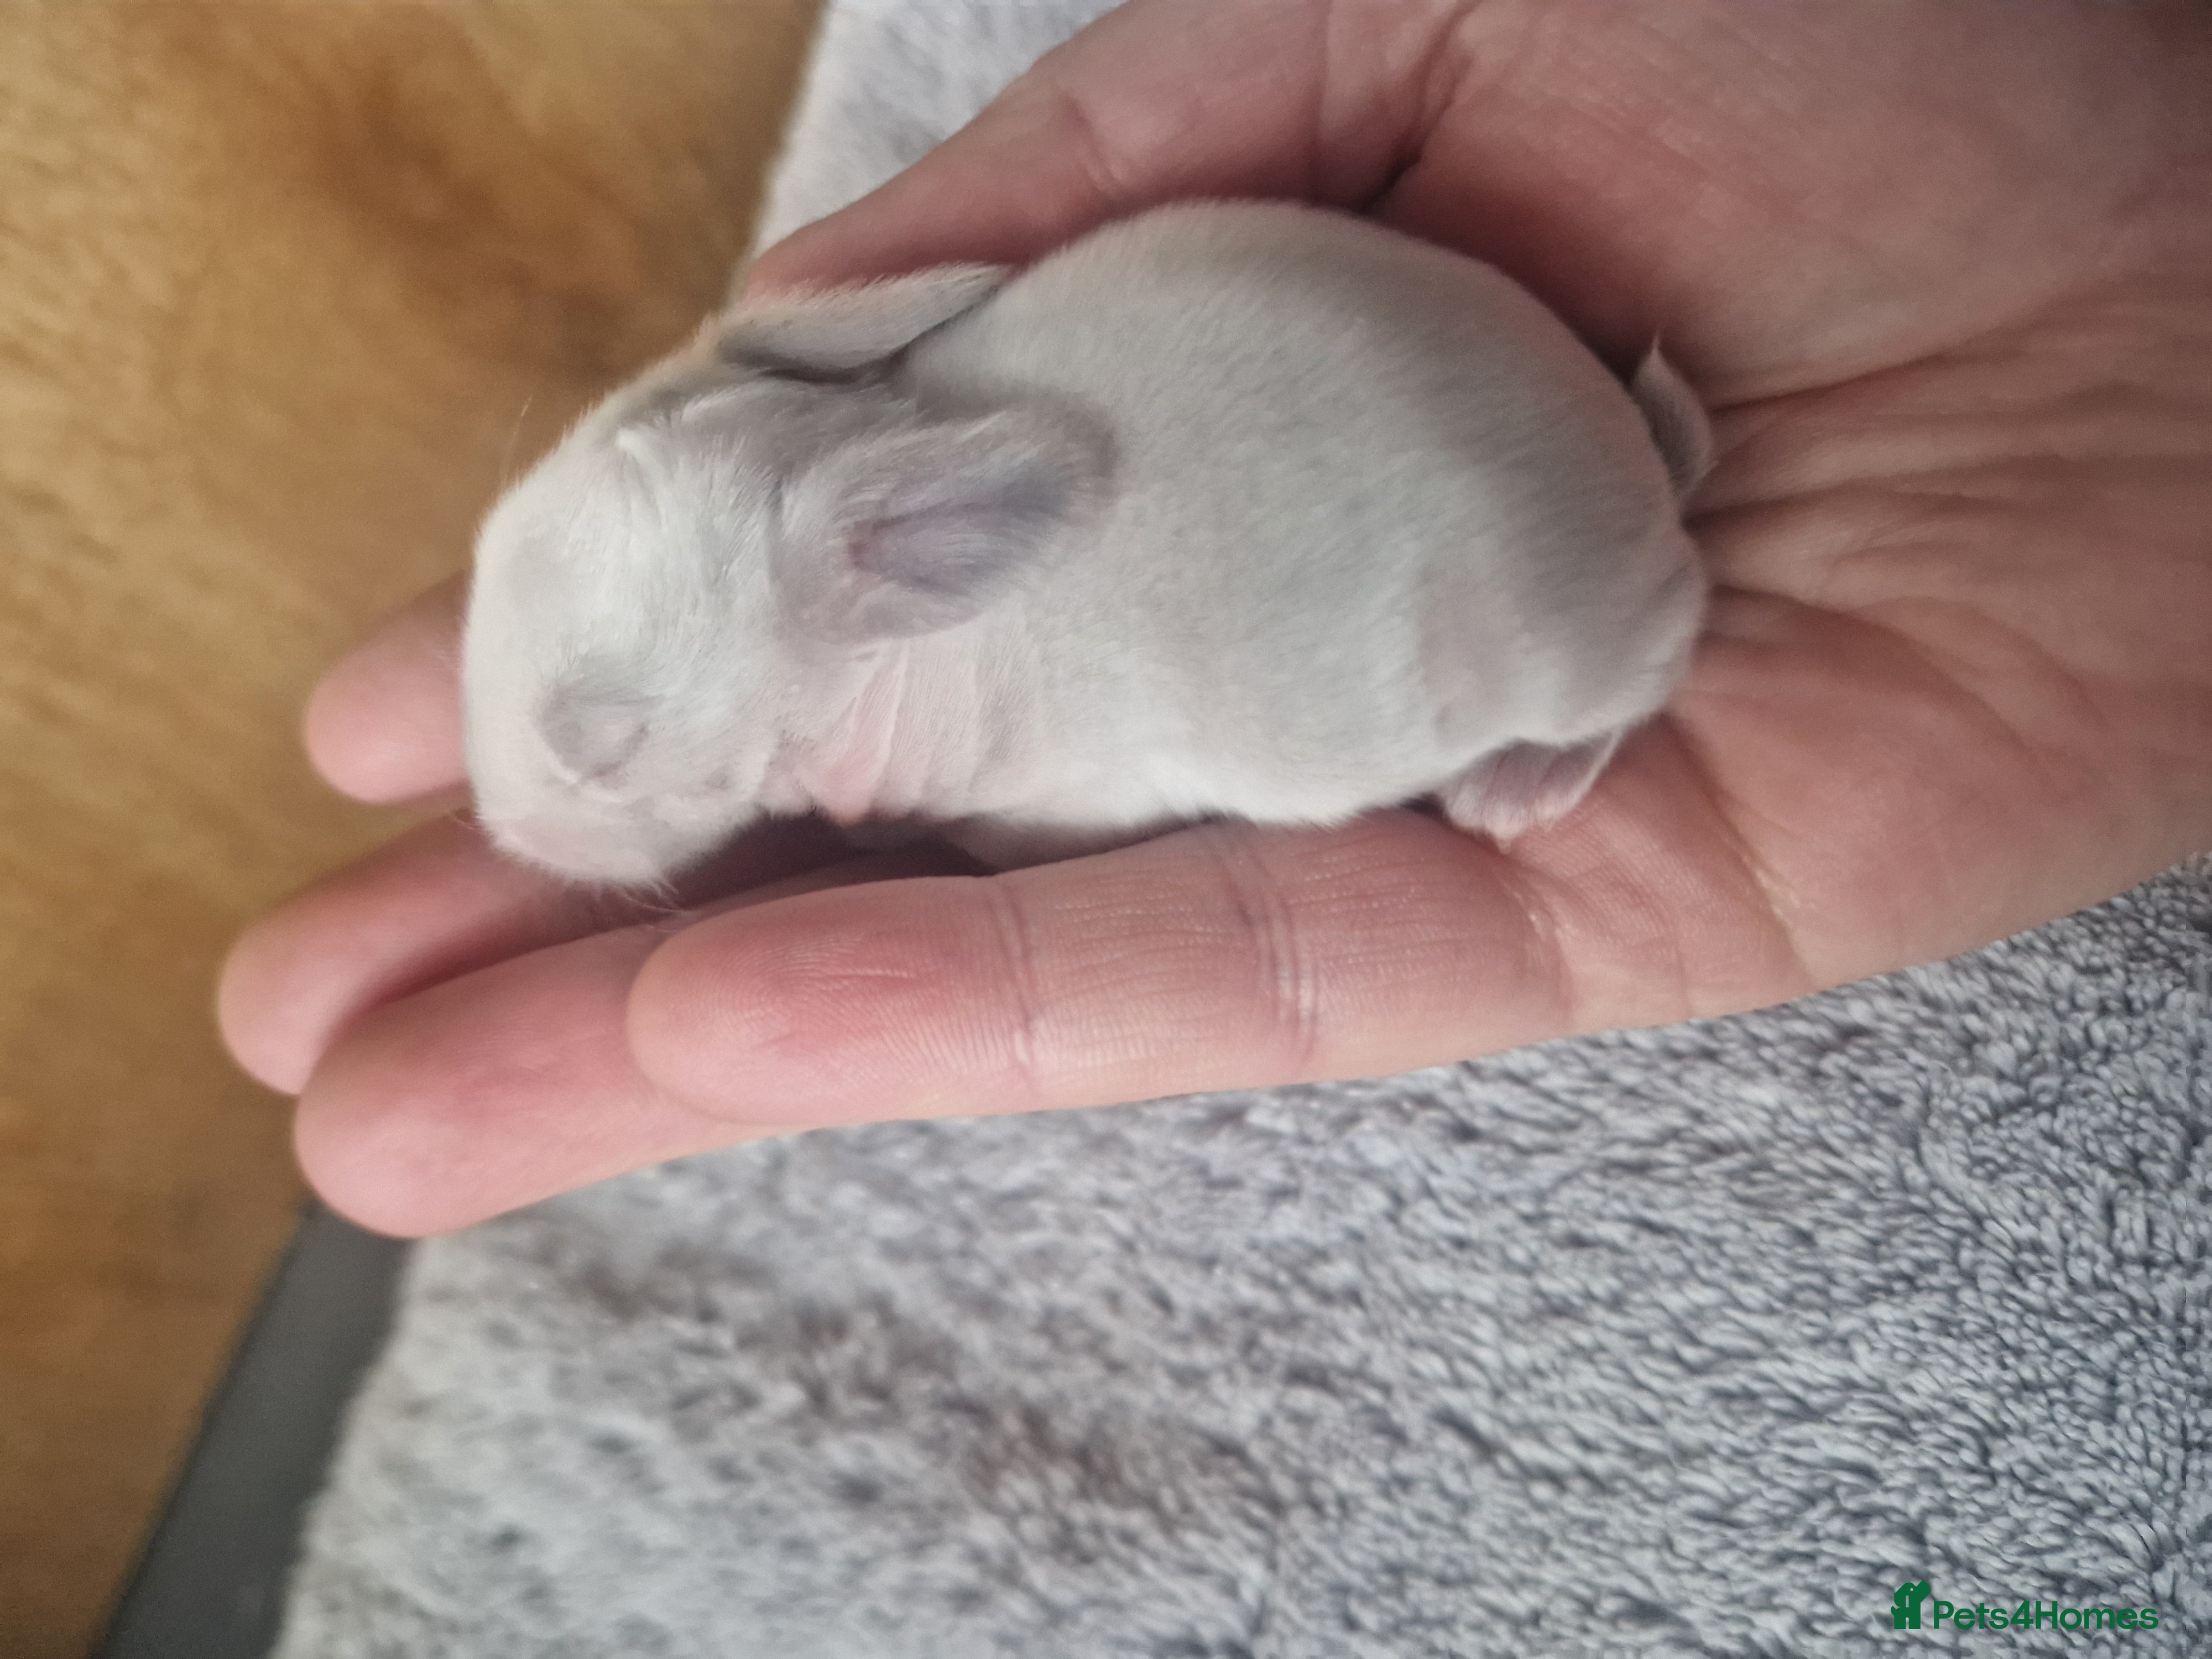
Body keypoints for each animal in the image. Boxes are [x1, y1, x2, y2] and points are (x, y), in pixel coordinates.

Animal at [460, 197, 1711, 885]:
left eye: (608, 753)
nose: (503, 832)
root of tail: (1641, 464)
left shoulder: (1079, 793)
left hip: (1577, 653)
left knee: (1676, 634)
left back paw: (1523, 785)